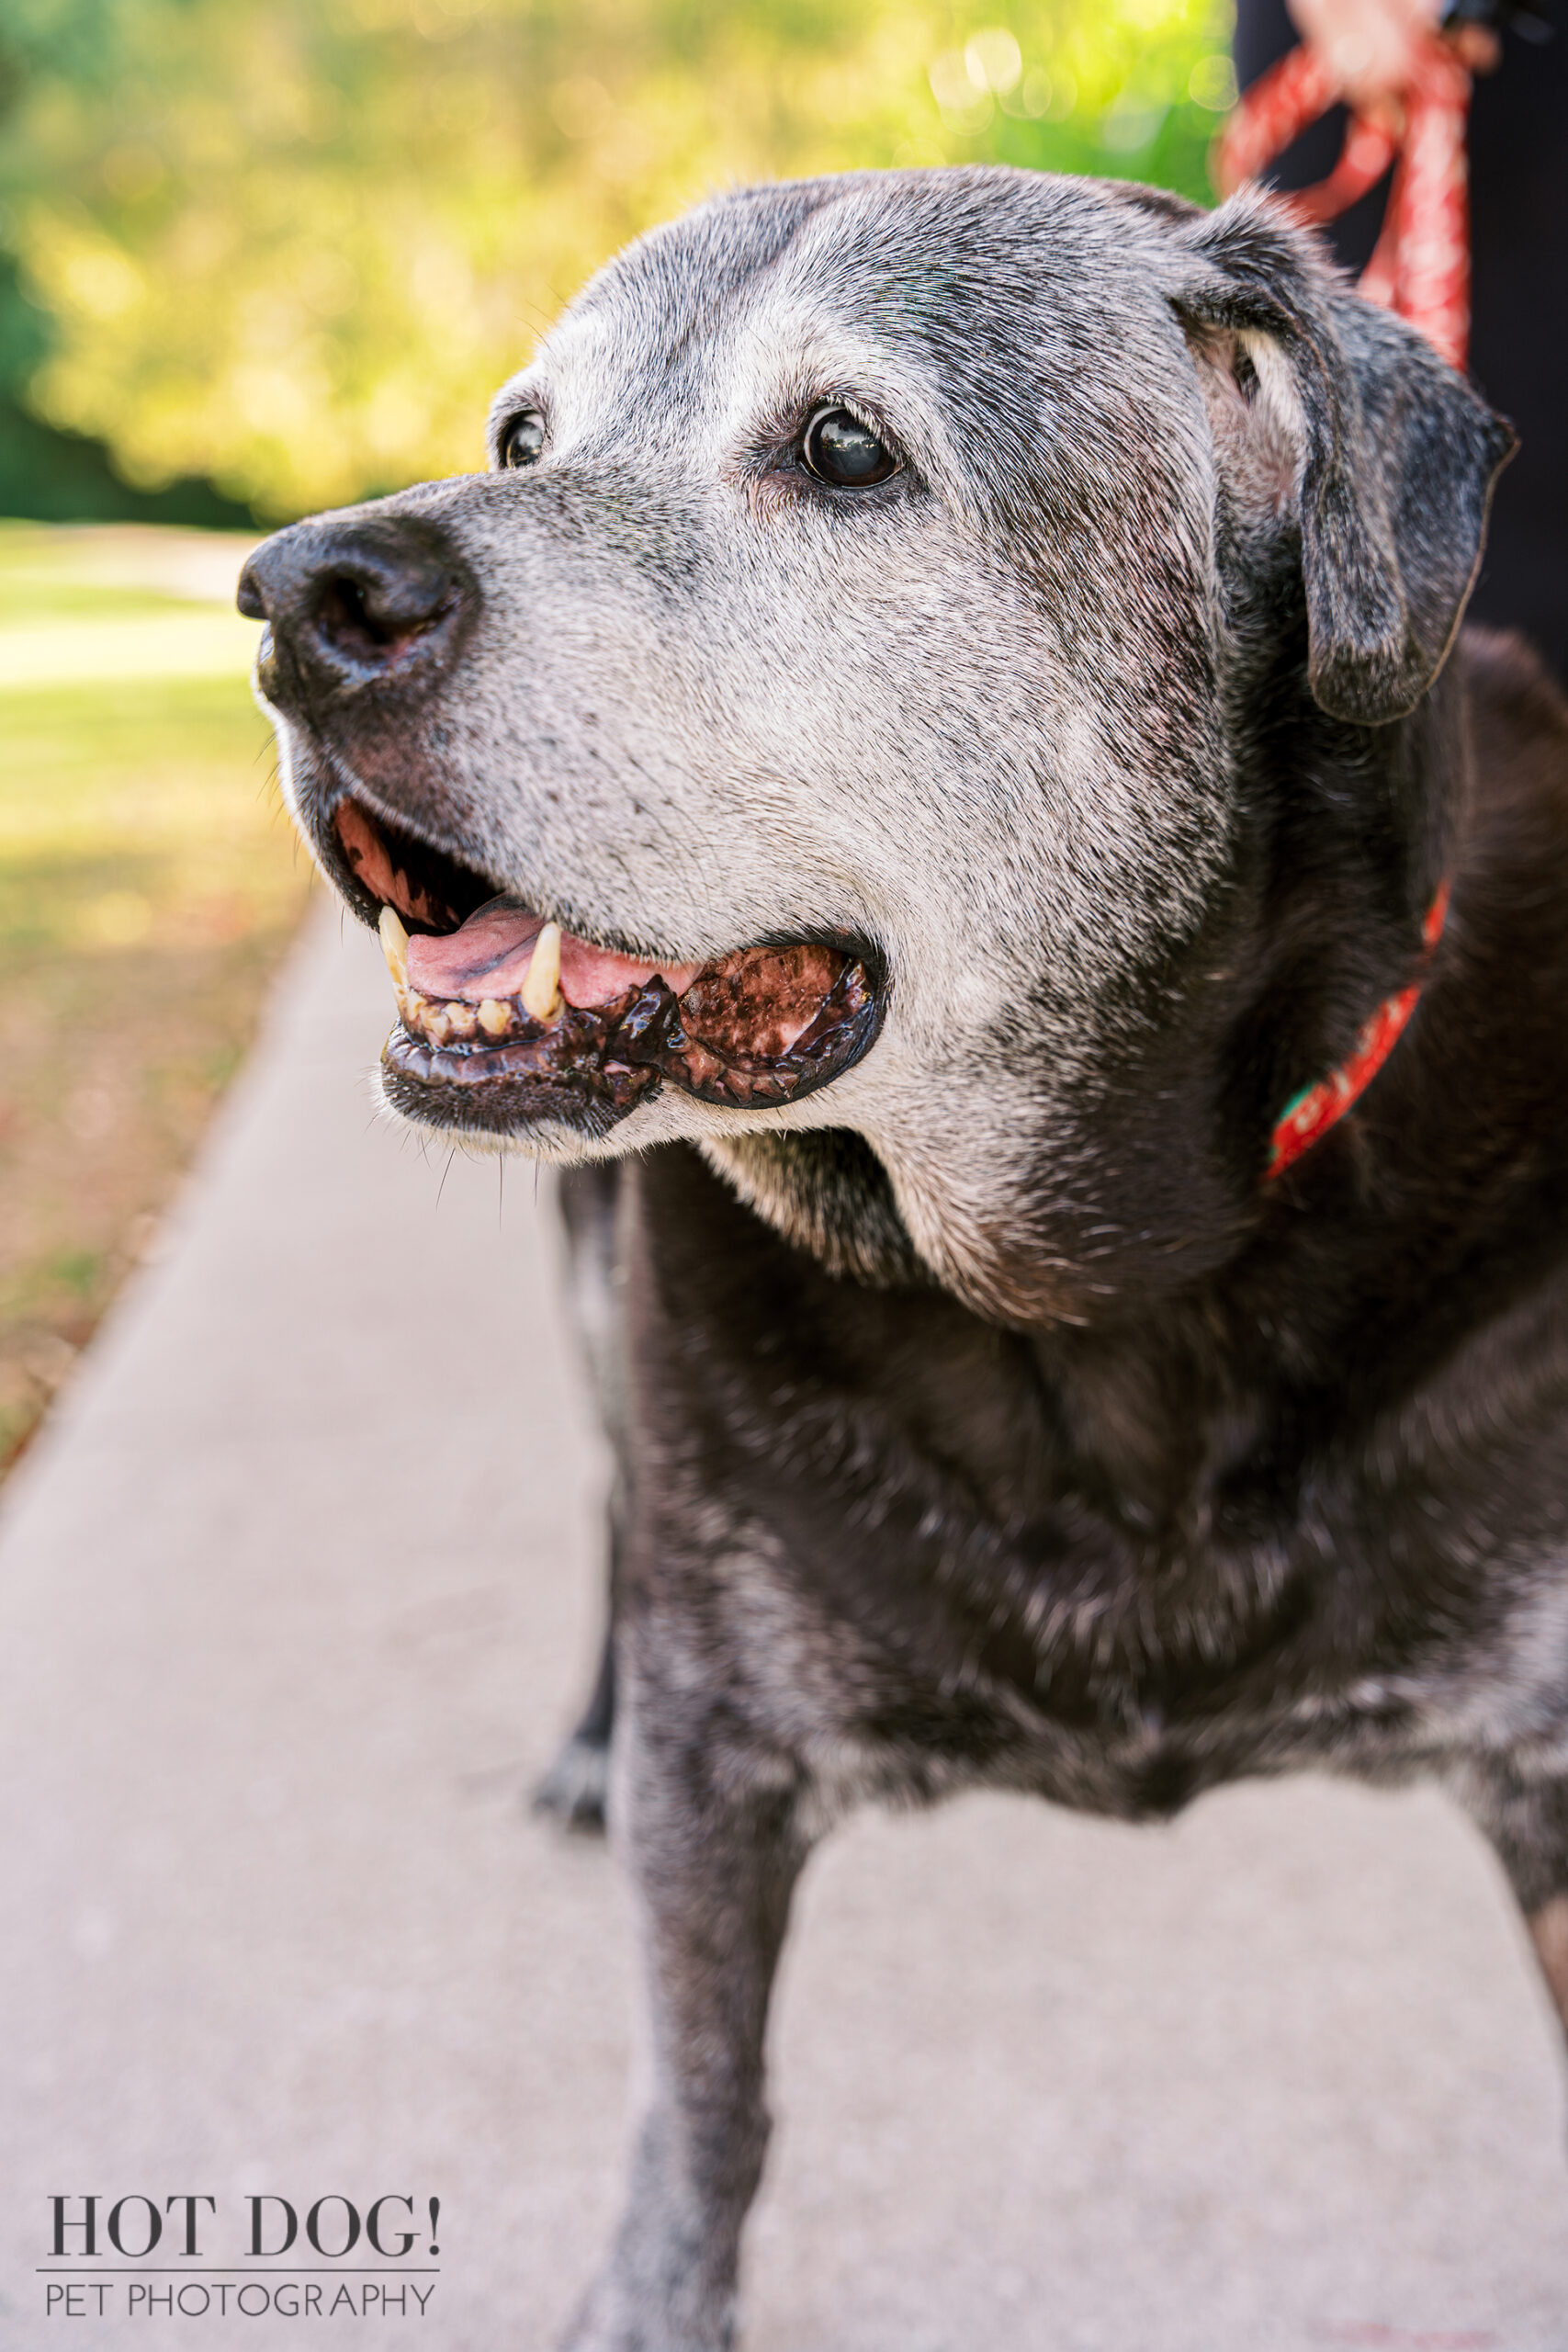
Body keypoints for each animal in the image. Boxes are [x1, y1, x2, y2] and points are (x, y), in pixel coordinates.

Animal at [236, 170, 1568, 2352]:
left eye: (846, 448)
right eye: (520, 440)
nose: (290, 596)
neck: (1084, 1296)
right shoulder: (721, 1757)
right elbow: (701, 2107)